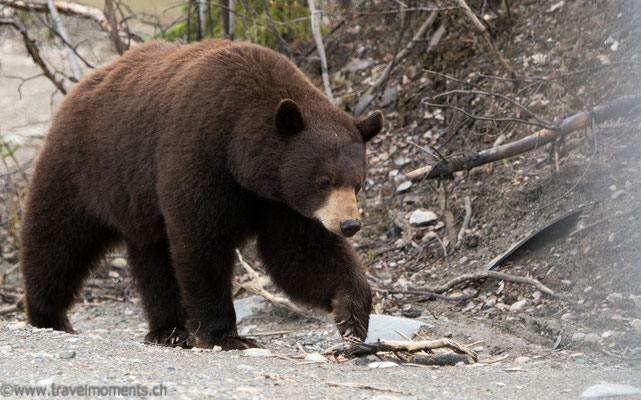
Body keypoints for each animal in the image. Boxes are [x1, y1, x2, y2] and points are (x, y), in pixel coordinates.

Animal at [18, 38, 380, 350]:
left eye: (357, 183)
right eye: (324, 180)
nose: (349, 225)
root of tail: (81, 86)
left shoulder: (280, 201)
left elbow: (300, 252)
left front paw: (351, 315)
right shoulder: (200, 150)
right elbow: (201, 239)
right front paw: (225, 334)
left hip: (139, 206)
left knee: (153, 257)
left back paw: (168, 330)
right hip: (84, 167)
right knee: (58, 239)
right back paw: (48, 315)